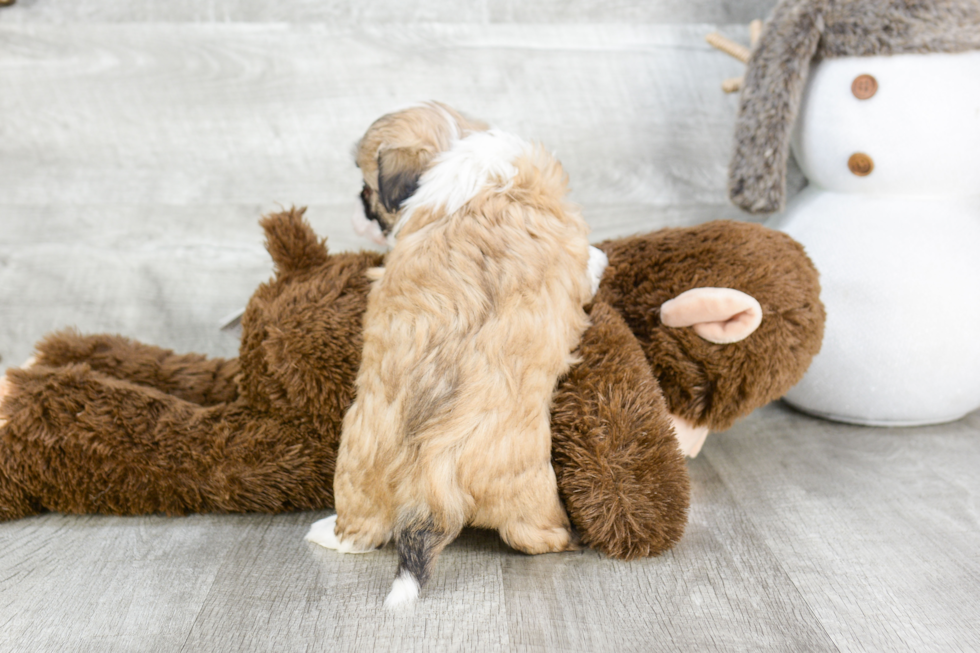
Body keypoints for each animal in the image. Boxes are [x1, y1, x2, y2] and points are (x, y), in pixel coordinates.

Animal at [310, 102, 608, 608]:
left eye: (366, 190)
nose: (356, 211)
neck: (455, 148)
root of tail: (431, 464)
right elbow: (586, 259)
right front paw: (601, 259)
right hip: (530, 494)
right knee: (539, 538)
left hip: (357, 461)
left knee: (360, 526)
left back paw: (327, 532)